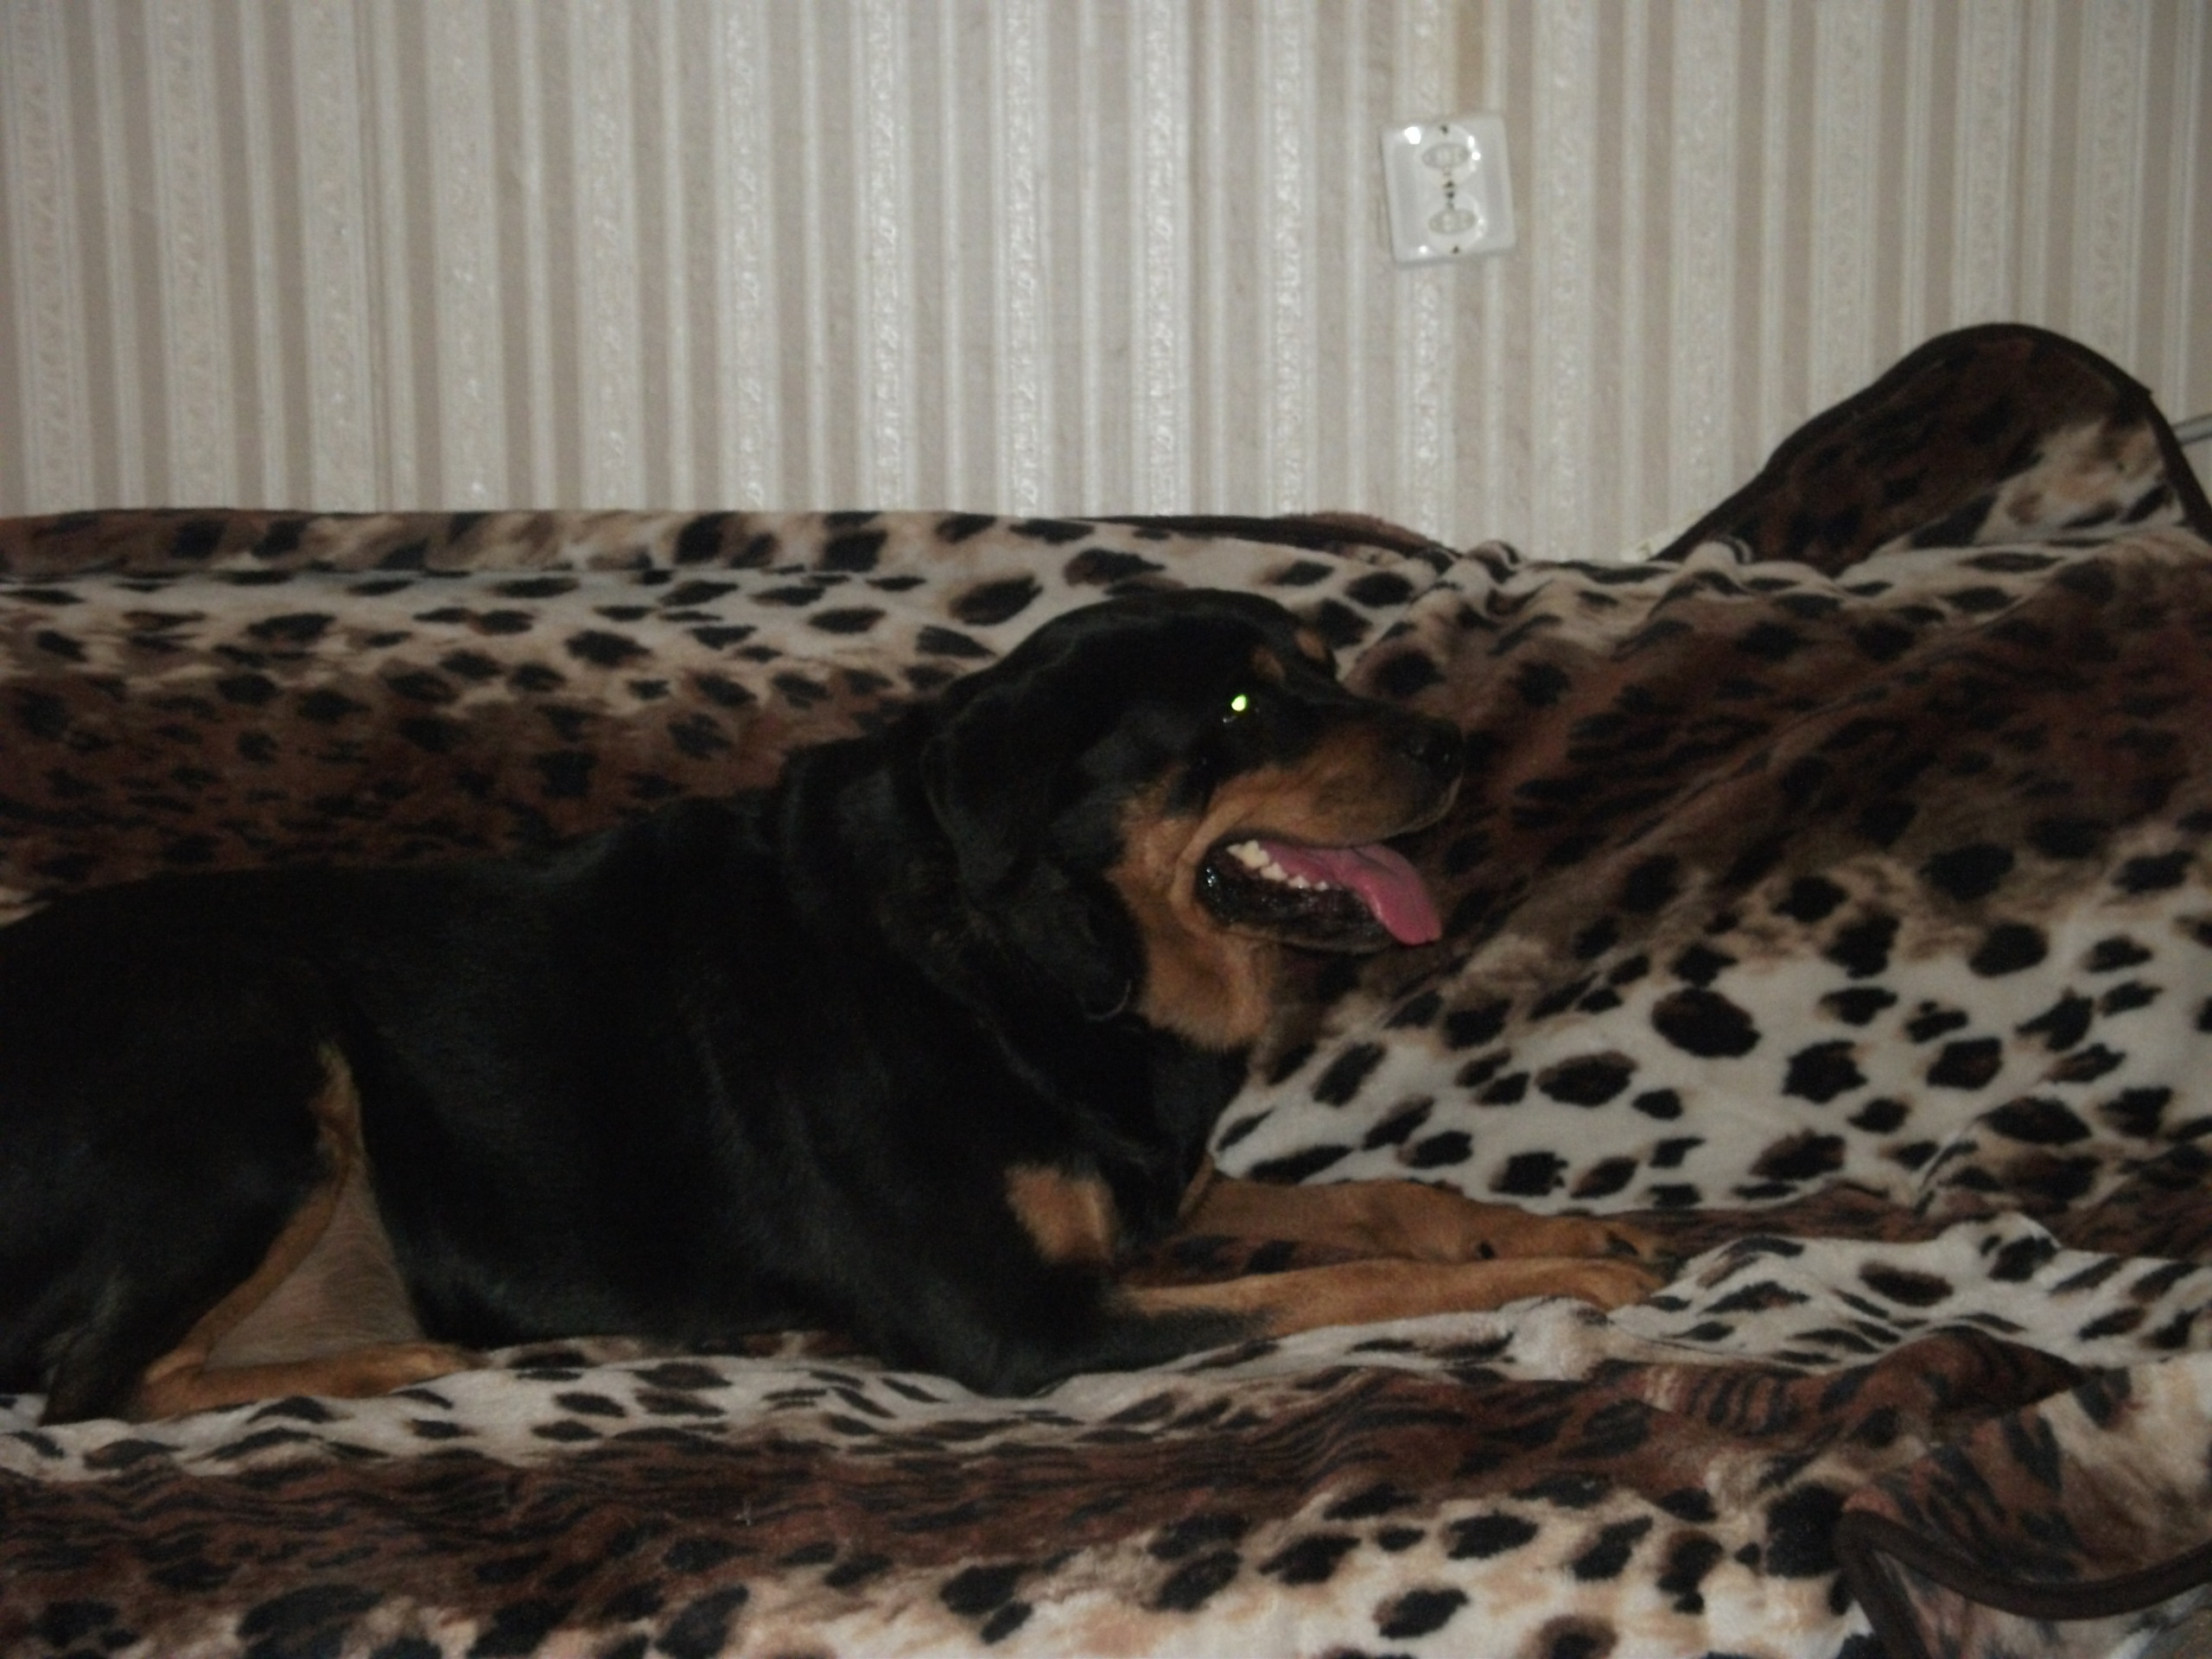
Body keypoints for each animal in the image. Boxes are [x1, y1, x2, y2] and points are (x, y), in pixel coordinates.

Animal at [0, 587, 1661, 1425]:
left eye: (1331, 672)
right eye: (1250, 708)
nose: (1451, 746)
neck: (1037, 958)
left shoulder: (1155, 1203)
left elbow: (1378, 1201)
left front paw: (1526, 1231)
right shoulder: (1030, 1320)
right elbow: (1340, 1283)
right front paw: (1556, 1277)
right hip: (259, 1050)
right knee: (98, 1388)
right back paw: (396, 1367)